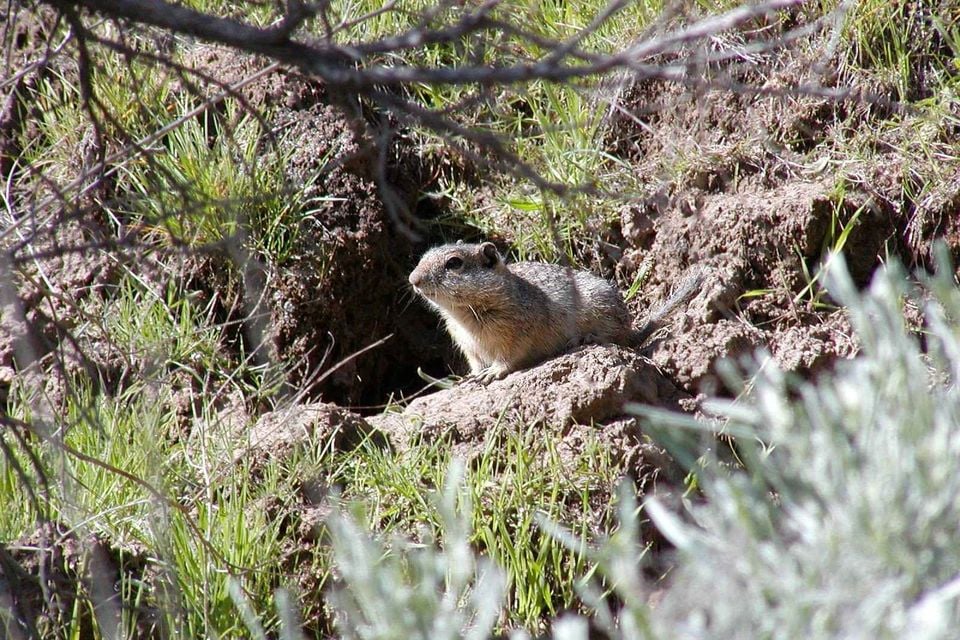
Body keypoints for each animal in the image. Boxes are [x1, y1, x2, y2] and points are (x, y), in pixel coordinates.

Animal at [409, 241, 703, 383]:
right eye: (424, 255)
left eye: (454, 263)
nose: (413, 279)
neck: (464, 315)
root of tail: (634, 329)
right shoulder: (469, 347)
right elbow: (476, 364)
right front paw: (471, 377)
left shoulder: (515, 334)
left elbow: (508, 359)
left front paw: (492, 373)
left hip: (603, 308)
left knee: (617, 336)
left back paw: (585, 338)